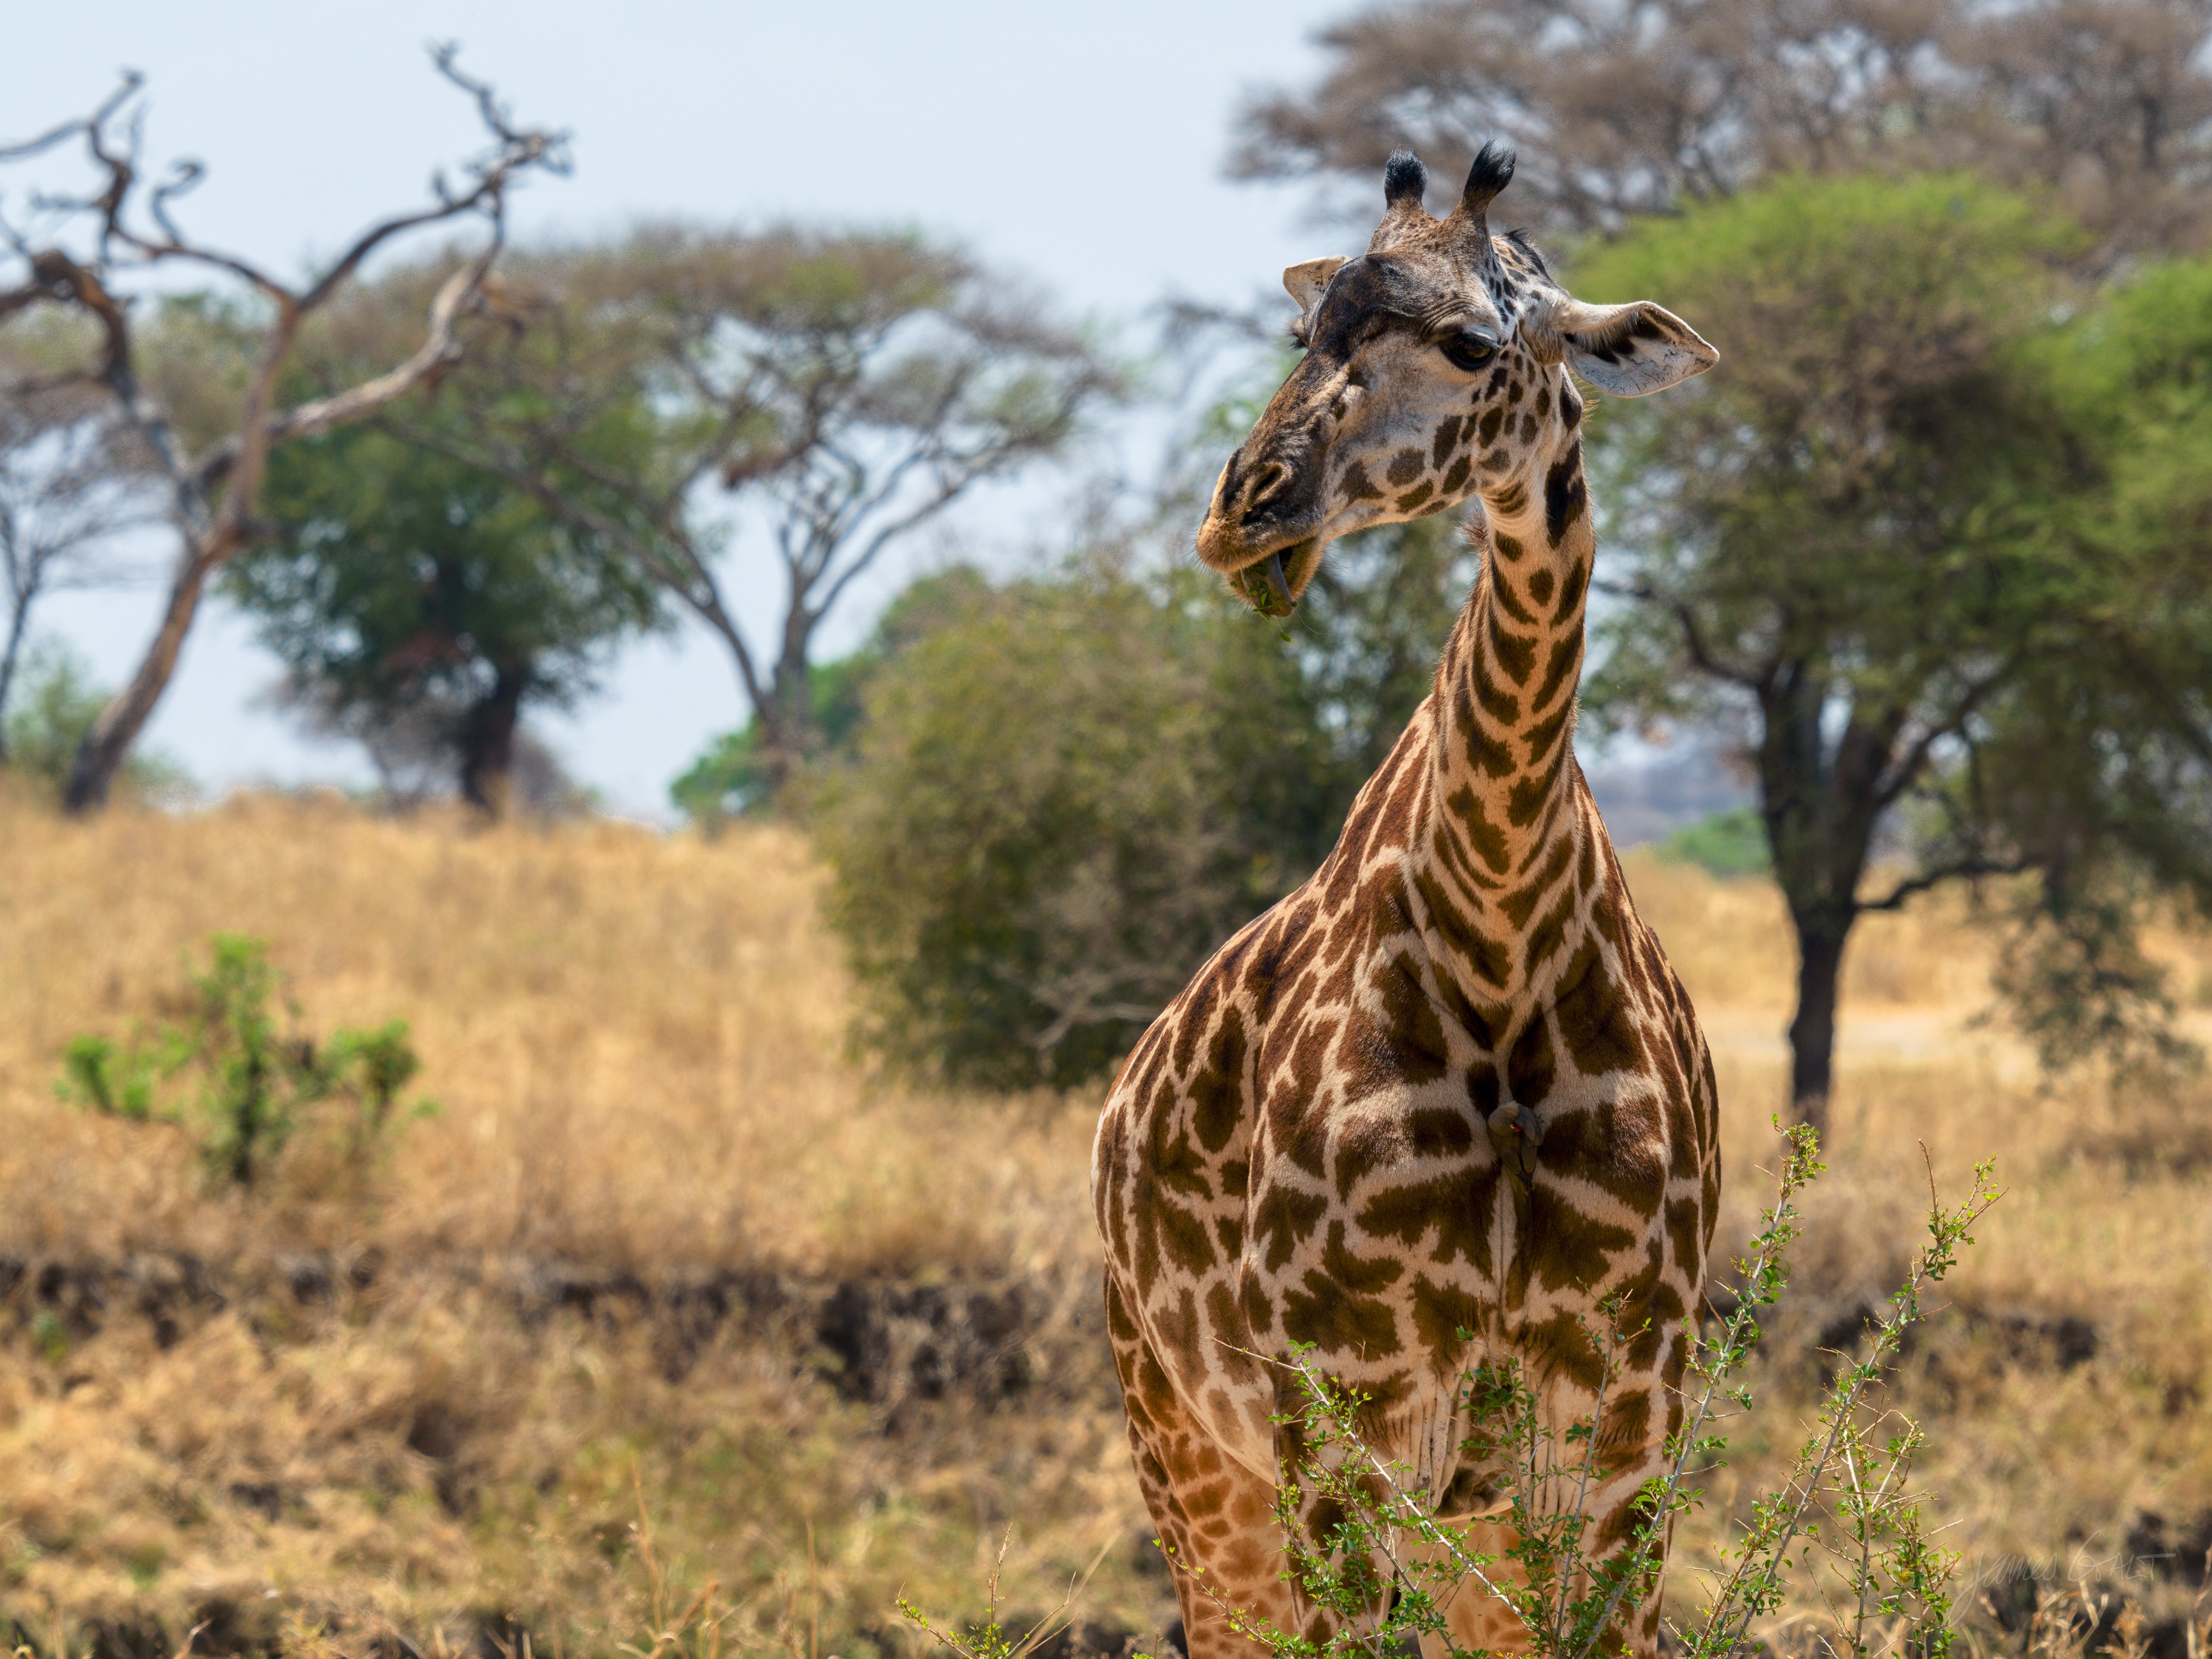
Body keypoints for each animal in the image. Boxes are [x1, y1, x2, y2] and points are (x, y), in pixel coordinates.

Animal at [1091, 144, 1723, 1659]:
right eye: (1303, 335)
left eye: (1472, 344)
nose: (1244, 511)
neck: (1500, 929)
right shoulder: (1345, 1391)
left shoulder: (1633, 1395)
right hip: (1185, 1441)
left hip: (1474, 1505)